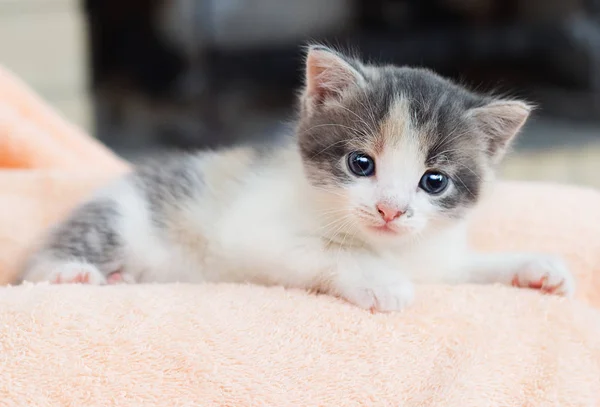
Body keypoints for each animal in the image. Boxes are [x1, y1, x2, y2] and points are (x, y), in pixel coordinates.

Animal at [18, 46, 576, 310]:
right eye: (361, 164)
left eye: (434, 182)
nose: (390, 209)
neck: (390, 247)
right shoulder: (250, 232)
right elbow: (326, 251)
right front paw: (380, 282)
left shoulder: (434, 255)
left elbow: (467, 267)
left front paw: (536, 268)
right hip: (122, 214)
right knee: (36, 268)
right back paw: (71, 274)